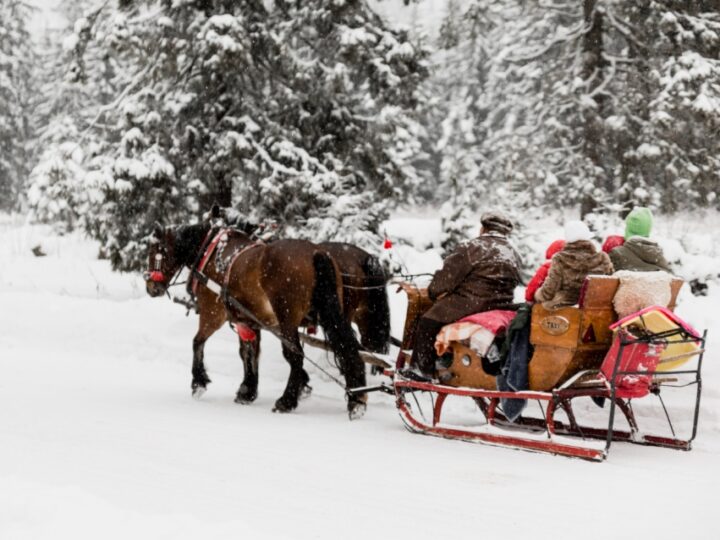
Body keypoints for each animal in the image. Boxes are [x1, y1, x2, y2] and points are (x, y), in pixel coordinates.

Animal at [143, 219, 368, 418]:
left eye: (155, 252)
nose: (151, 287)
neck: (210, 254)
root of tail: (316, 252)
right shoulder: (248, 321)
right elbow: (248, 353)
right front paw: (247, 390)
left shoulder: (212, 313)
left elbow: (197, 342)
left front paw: (199, 382)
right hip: (332, 314)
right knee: (347, 348)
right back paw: (356, 399)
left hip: (287, 320)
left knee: (295, 355)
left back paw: (286, 401)